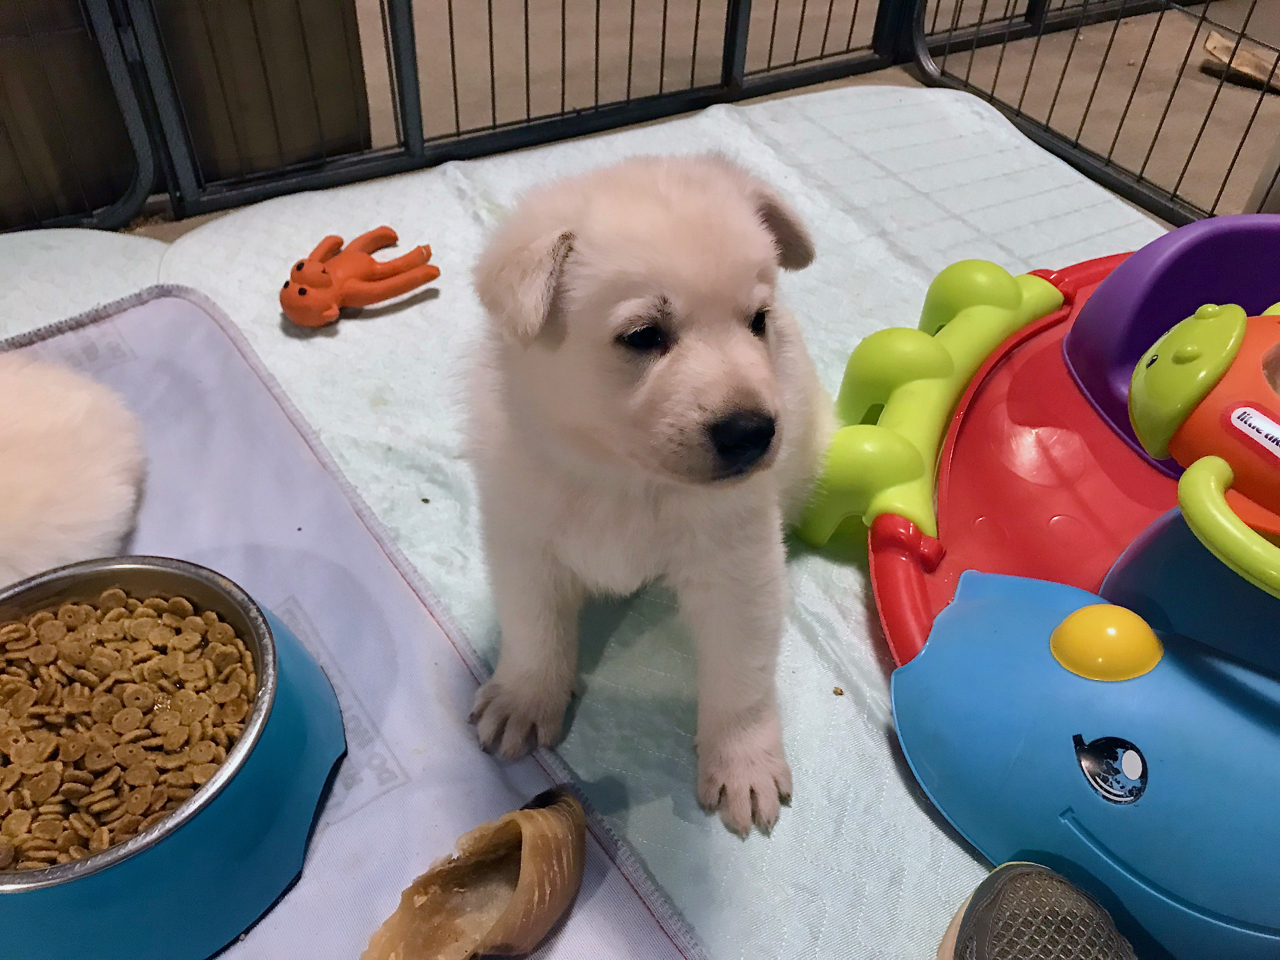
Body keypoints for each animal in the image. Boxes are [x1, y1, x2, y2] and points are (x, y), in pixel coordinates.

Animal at [471, 152, 829, 834]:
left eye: (758, 321)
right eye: (642, 335)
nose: (753, 431)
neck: (626, 479)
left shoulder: (738, 568)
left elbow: (741, 672)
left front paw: (742, 760)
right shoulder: (524, 541)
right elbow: (534, 626)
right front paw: (526, 695)